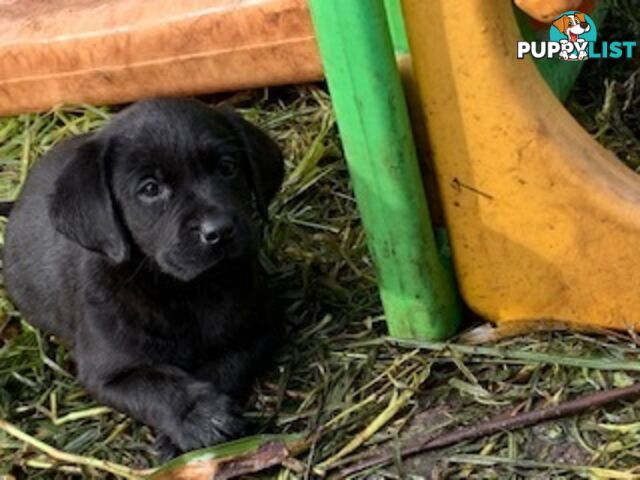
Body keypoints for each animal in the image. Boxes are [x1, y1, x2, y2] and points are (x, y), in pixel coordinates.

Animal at [2, 97, 282, 458]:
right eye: (150, 189)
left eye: (227, 167)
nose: (218, 230)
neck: (185, 291)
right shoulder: (109, 373)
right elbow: (157, 386)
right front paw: (199, 416)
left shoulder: (256, 330)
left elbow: (225, 366)